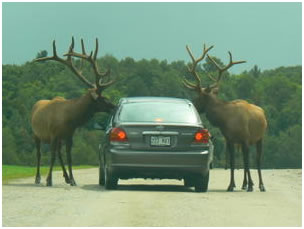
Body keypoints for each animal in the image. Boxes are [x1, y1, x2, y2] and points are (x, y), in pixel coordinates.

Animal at [31, 36, 116, 186]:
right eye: (102, 98)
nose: (114, 106)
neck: (70, 119)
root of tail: (35, 104)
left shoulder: (69, 135)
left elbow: (69, 156)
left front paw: (73, 180)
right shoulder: (53, 134)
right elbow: (51, 156)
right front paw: (49, 180)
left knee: (59, 153)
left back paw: (66, 177)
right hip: (36, 133)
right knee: (39, 154)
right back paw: (38, 178)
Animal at [183, 43, 266, 191]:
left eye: (199, 97)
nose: (192, 104)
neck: (225, 120)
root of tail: (262, 112)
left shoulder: (245, 139)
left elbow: (247, 162)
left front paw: (251, 185)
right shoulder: (230, 140)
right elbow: (233, 163)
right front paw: (231, 185)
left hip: (260, 137)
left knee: (257, 160)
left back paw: (261, 185)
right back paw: (244, 184)